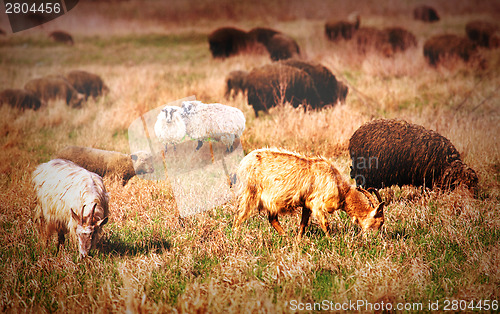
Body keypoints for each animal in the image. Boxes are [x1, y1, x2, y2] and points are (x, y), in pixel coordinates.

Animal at [232, 147, 384, 238]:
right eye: (381, 221)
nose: (376, 238)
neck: (343, 192)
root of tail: (243, 163)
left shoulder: (307, 203)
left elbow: (303, 223)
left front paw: (298, 240)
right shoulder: (317, 204)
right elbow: (325, 224)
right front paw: (332, 241)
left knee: (272, 219)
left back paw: (286, 237)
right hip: (251, 193)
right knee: (239, 217)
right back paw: (234, 236)